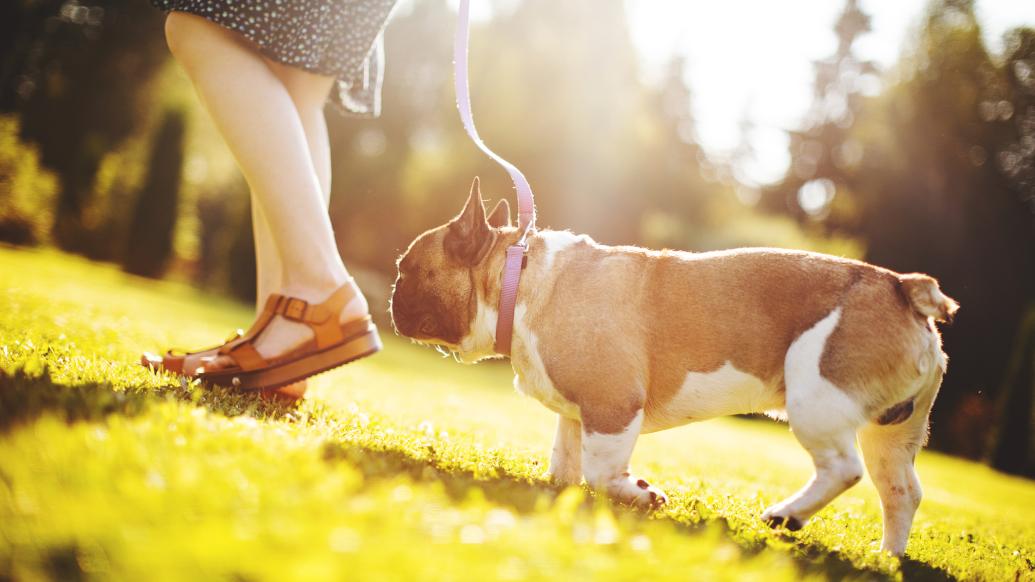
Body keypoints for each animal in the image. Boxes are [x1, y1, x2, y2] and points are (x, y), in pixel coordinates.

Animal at [391, 178, 956, 550]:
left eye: (406, 269)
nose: (392, 294)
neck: (519, 278)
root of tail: (902, 287)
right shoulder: (580, 412)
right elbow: (566, 461)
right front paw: (568, 487)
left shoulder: (612, 403)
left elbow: (601, 469)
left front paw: (639, 494)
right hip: (893, 432)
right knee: (902, 492)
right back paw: (886, 556)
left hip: (817, 397)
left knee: (842, 468)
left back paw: (786, 516)